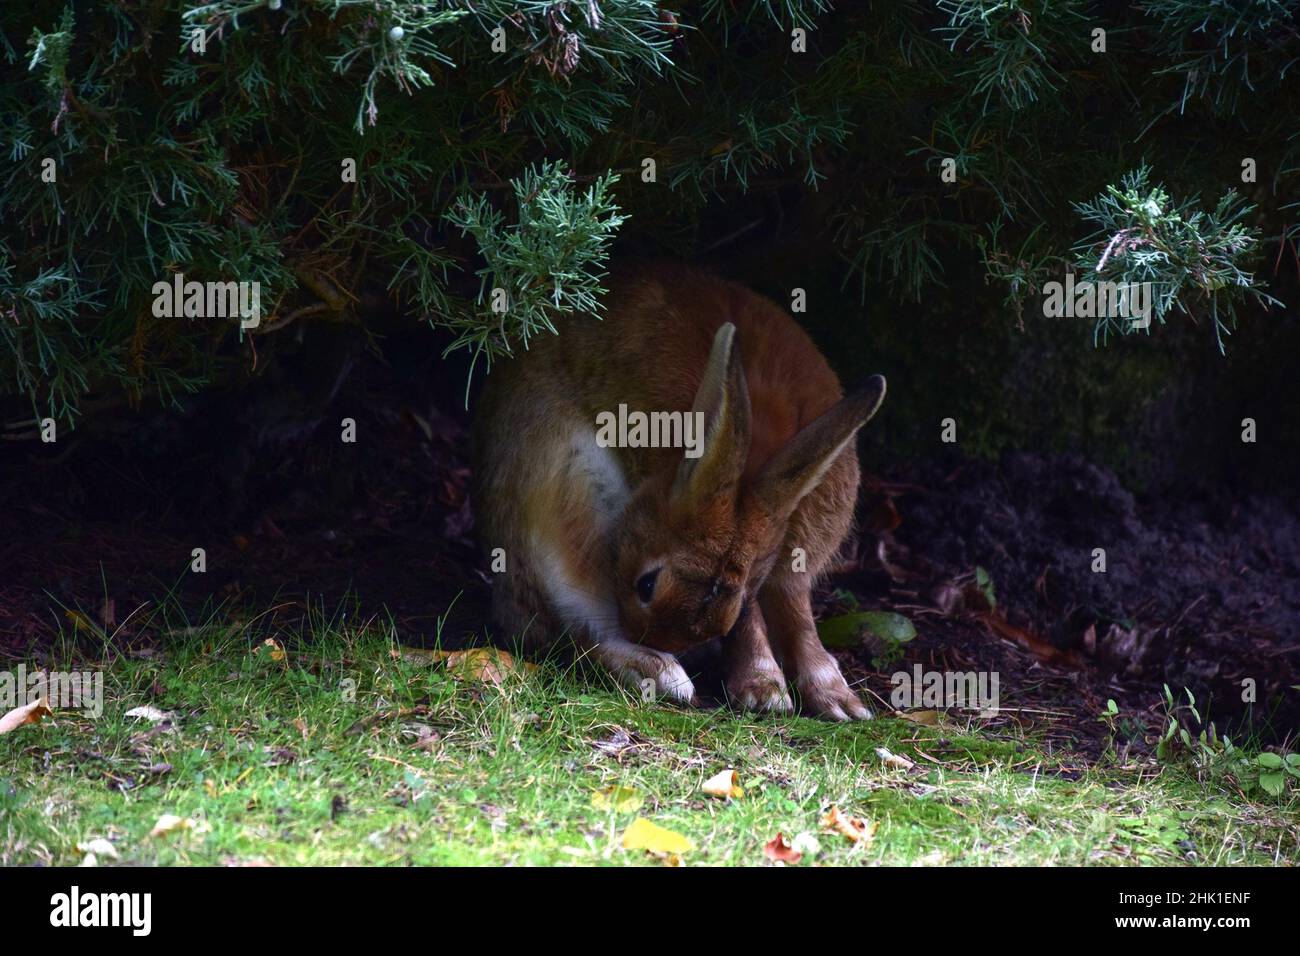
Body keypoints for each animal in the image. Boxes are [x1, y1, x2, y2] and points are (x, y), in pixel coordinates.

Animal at [473, 261, 889, 717]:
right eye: (647, 585)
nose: (651, 635)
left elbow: (788, 607)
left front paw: (828, 698)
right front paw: (765, 690)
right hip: (561, 489)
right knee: (573, 627)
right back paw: (659, 672)